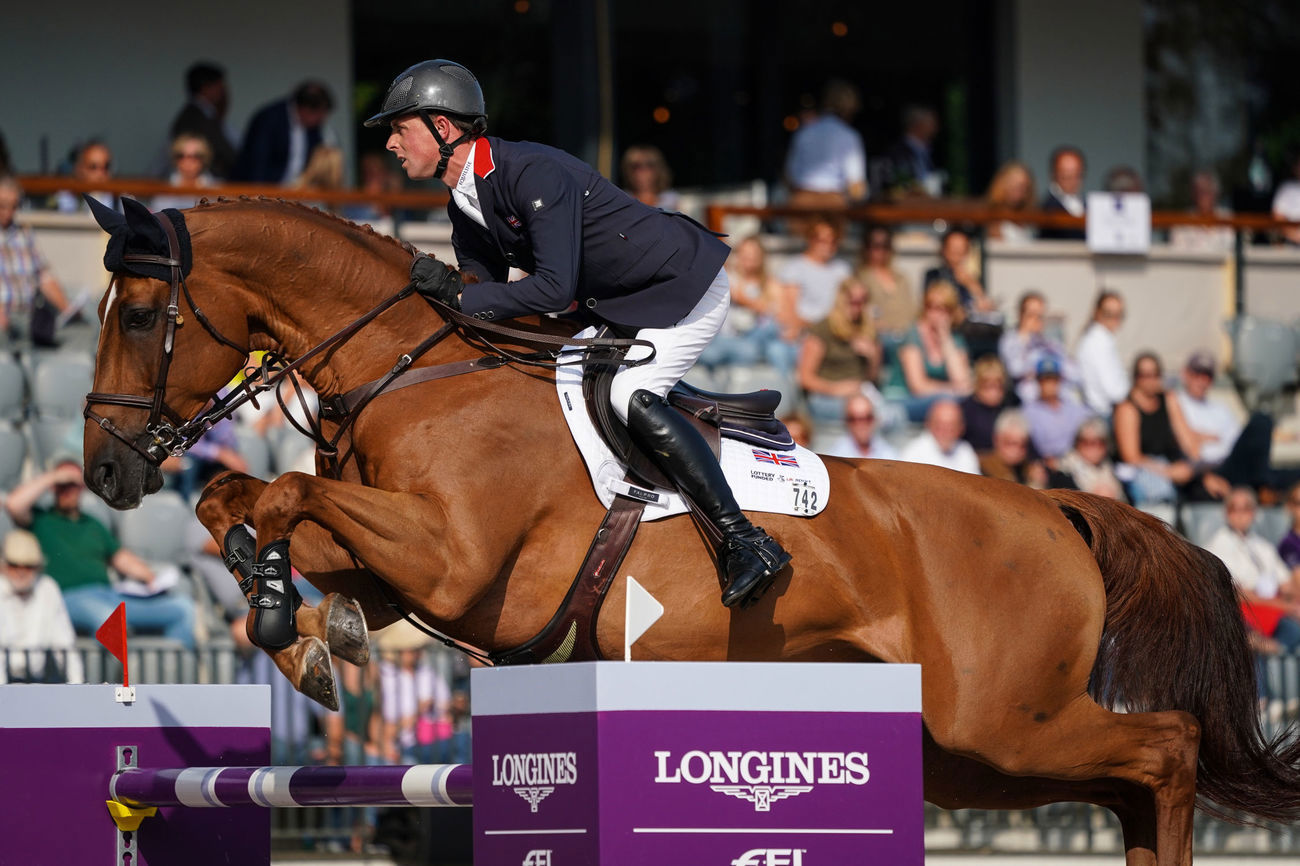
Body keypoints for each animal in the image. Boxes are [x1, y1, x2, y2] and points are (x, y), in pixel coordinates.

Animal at [83, 195, 1300, 863]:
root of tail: (1053, 504)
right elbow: (255, 509)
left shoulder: (457, 562)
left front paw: (288, 615)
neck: (412, 373)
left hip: (1004, 718)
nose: (103, 468)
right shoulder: (403, 569)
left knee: (1166, 748)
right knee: (1128, 777)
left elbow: (287, 493)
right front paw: (297, 625)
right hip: (970, 755)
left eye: (141, 315)